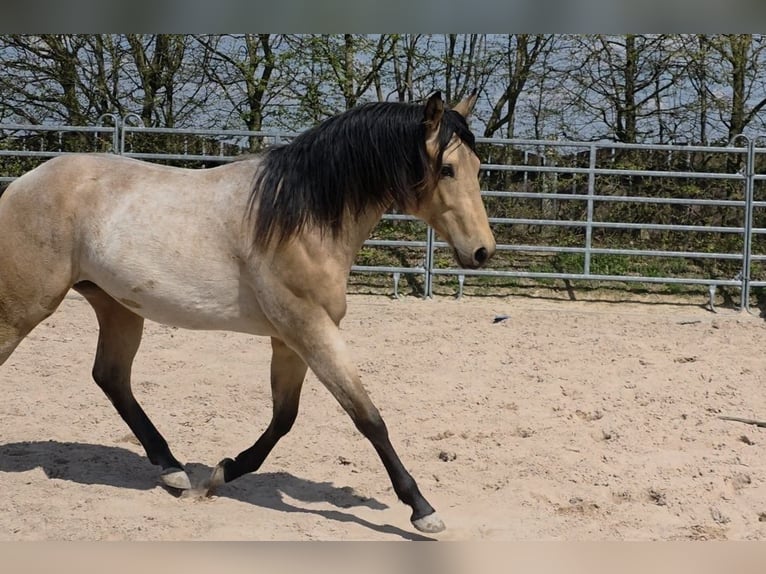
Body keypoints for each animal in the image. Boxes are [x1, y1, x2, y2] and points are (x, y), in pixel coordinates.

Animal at [0, 91, 495, 534]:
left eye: (477, 168)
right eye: (447, 169)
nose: (482, 251)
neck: (300, 218)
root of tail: (23, 183)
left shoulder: (290, 339)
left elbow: (284, 417)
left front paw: (221, 474)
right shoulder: (311, 329)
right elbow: (367, 417)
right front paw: (422, 509)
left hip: (117, 307)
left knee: (111, 377)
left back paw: (173, 469)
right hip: (23, 309)